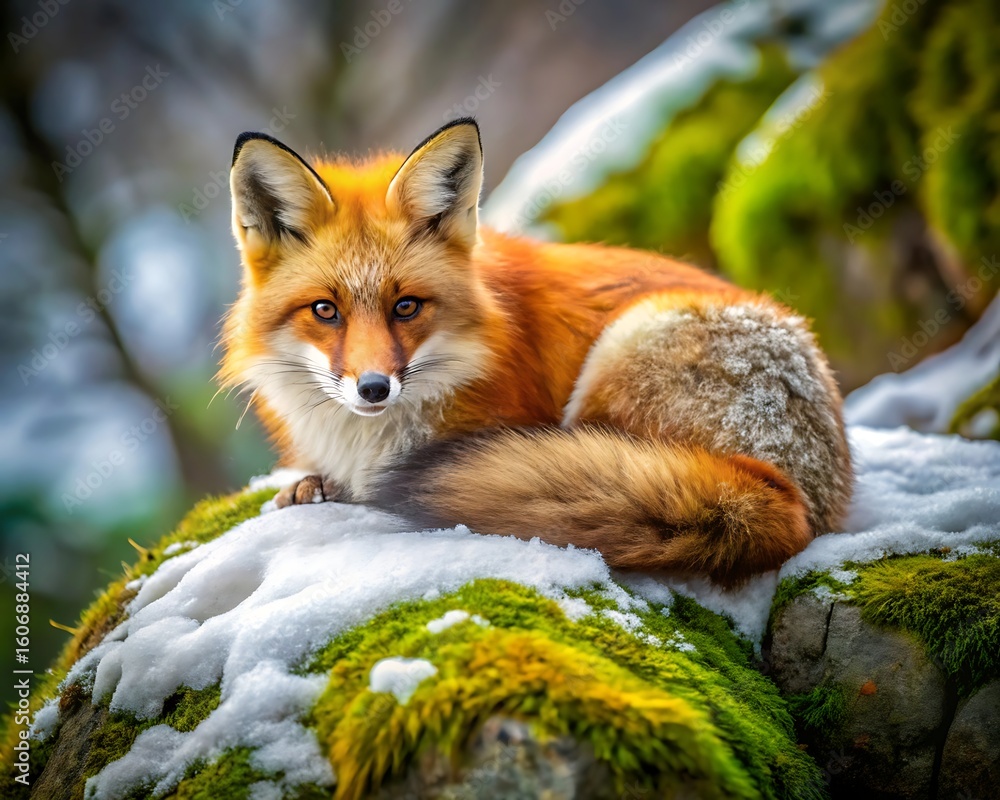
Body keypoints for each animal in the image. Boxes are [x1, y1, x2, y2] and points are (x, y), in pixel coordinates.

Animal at [220, 118, 853, 587]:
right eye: (325, 310)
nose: (373, 387)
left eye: (407, 307)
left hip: (620, 357)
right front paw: (310, 485)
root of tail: (792, 498)